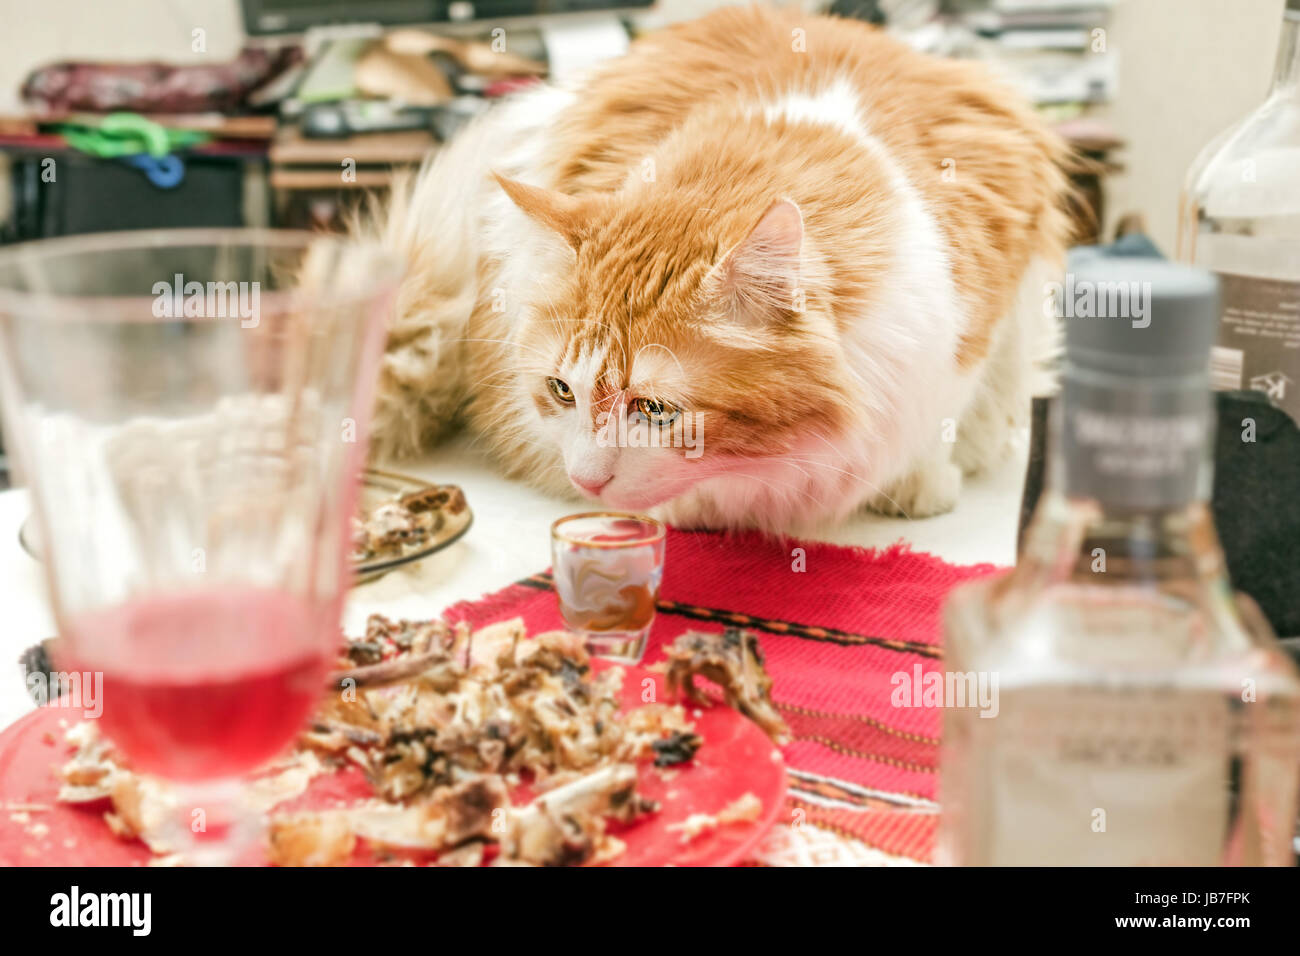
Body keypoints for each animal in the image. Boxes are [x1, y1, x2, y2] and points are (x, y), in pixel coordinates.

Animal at [364, 3, 1066, 535]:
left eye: (655, 410)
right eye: (562, 391)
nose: (583, 480)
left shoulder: (979, 300)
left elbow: (943, 412)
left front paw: (921, 483)